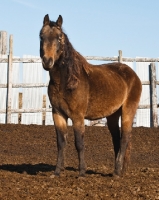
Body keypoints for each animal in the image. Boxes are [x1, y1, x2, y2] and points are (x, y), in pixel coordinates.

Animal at [39, 13, 142, 177]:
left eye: (59, 37)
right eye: (41, 36)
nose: (47, 61)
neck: (67, 80)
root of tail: (132, 74)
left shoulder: (77, 116)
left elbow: (79, 143)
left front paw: (81, 172)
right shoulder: (58, 114)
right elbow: (61, 143)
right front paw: (57, 172)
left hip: (128, 110)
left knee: (124, 138)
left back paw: (117, 172)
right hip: (113, 115)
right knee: (117, 140)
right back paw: (119, 169)